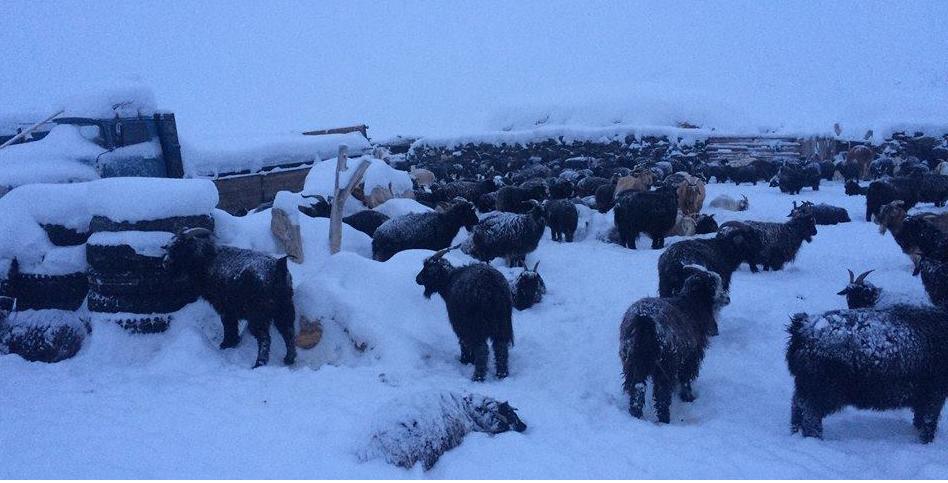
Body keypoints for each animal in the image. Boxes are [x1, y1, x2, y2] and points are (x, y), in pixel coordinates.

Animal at [163, 229, 296, 368]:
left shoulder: (225, 309)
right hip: (284, 309)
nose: (165, 263)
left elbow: (228, 327)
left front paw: (225, 345)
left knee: (265, 338)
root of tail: (278, 266)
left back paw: (259, 364)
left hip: (259, 316)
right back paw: (289, 359)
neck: (208, 259)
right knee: (289, 333)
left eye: (178, 247)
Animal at [414, 250, 516, 382]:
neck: (449, 280)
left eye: (426, 268)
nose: (417, 279)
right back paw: (502, 374)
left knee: (482, 349)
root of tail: (491, 288)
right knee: (501, 348)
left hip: (476, 325)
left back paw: (478, 376)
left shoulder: (460, 326)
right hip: (502, 324)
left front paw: (465, 360)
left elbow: (464, 343)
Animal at [620, 268, 728, 424]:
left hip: (633, 362)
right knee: (662, 395)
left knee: (637, 388)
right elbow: (686, 378)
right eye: (715, 284)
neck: (692, 303)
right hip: (665, 365)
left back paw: (636, 415)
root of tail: (645, 320)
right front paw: (688, 398)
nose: (728, 298)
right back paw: (665, 420)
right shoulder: (691, 356)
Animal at [784, 306, 948, 442]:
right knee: (810, 417)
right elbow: (928, 422)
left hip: (806, 388)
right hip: (822, 392)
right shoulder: (934, 395)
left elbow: (920, 419)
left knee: (797, 407)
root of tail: (802, 328)